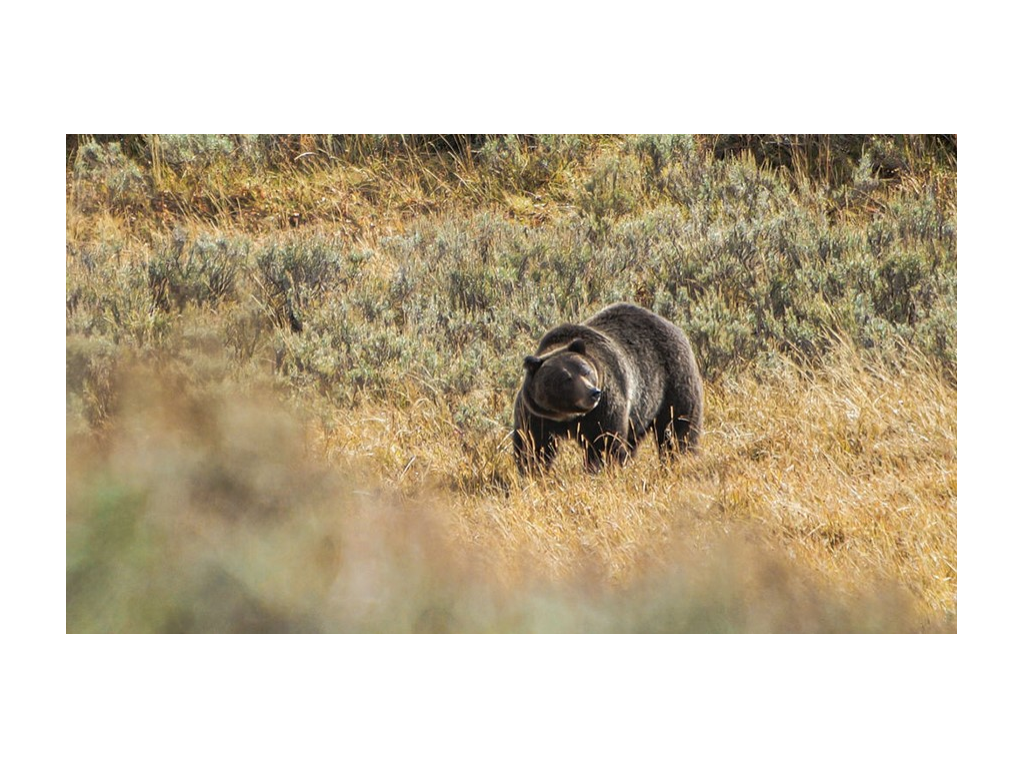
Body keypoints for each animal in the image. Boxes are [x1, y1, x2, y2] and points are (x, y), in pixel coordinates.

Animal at [513, 302, 703, 473]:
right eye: (566, 379)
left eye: (586, 371)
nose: (593, 393)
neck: (567, 416)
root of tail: (671, 325)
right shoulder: (537, 414)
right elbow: (533, 445)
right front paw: (531, 470)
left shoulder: (604, 406)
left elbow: (605, 442)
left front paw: (601, 468)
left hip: (673, 381)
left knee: (678, 427)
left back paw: (680, 458)